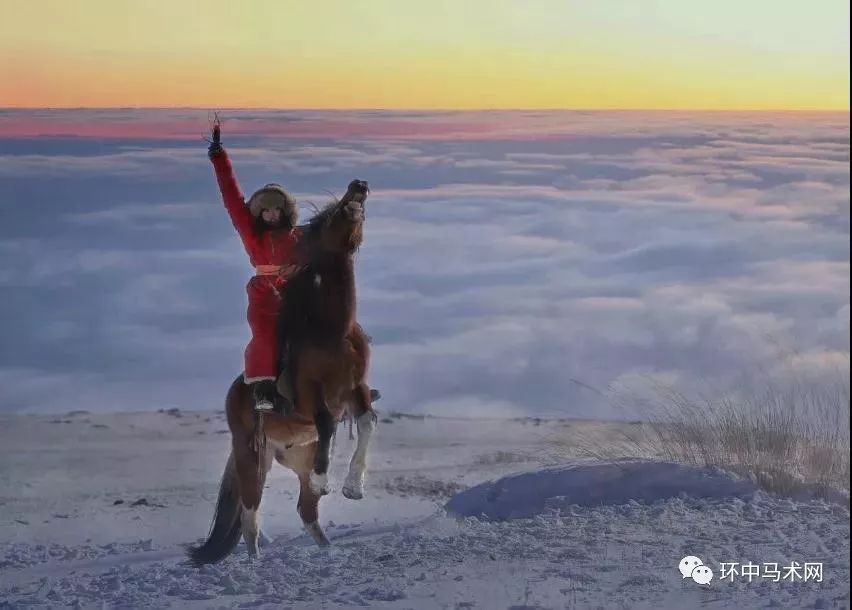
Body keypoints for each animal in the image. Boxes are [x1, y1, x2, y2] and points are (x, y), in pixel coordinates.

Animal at [188, 178, 378, 564]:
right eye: (331, 214)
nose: (360, 185)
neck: (332, 331)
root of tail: (235, 393)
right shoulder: (310, 395)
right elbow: (327, 421)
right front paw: (326, 480)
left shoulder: (357, 388)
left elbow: (367, 422)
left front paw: (353, 487)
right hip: (251, 457)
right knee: (250, 516)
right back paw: (255, 562)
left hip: (294, 455)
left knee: (305, 511)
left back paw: (327, 549)